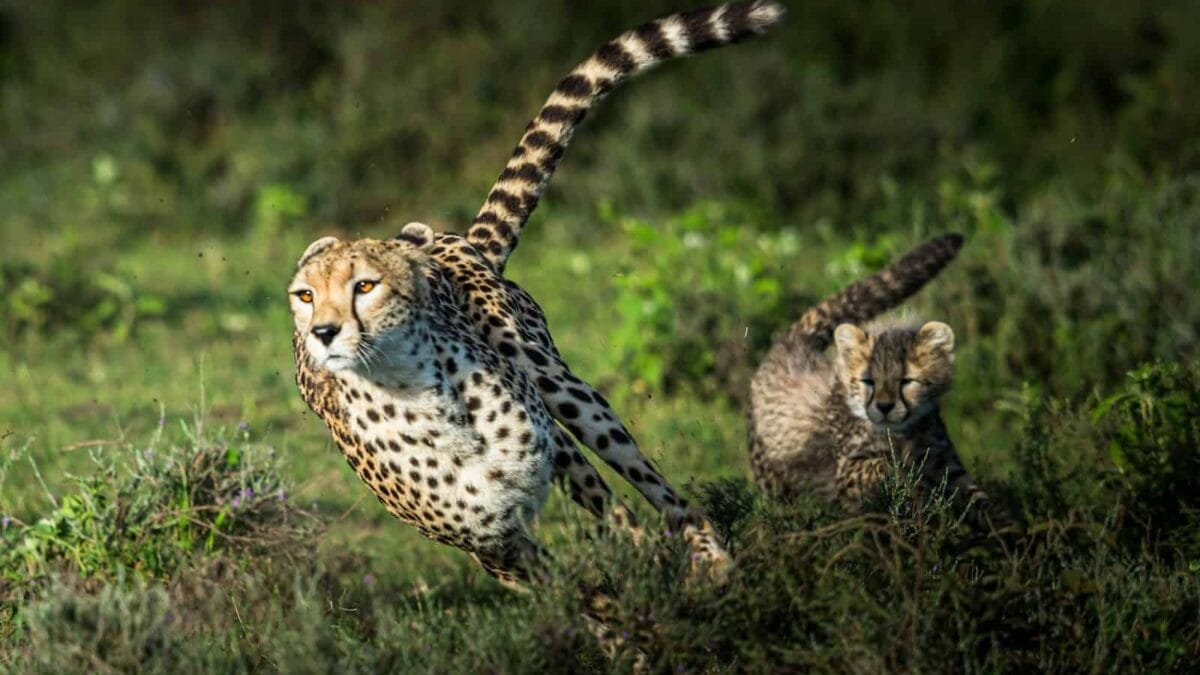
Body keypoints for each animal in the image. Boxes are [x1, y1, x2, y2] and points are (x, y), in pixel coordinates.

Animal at [289, 1, 785, 604]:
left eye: (365, 285)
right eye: (305, 295)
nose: (323, 332)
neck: (418, 397)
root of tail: (458, 239)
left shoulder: (553, 457)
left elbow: (622, 530)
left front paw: (655, 588)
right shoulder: (493, 546)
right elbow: (580, 595)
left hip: (562, 388)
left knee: (651, 486)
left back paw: (709, 558)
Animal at [748, 233, 1010, 531]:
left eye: (907, 380)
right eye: (867, 381)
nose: (884, 407)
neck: (903, 434)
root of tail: (793, 343)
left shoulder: (944, 463)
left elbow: (978, 498)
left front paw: (1008, 527)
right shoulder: (844, 471)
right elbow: (883, 465)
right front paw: (913, 489)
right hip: (773, 481)